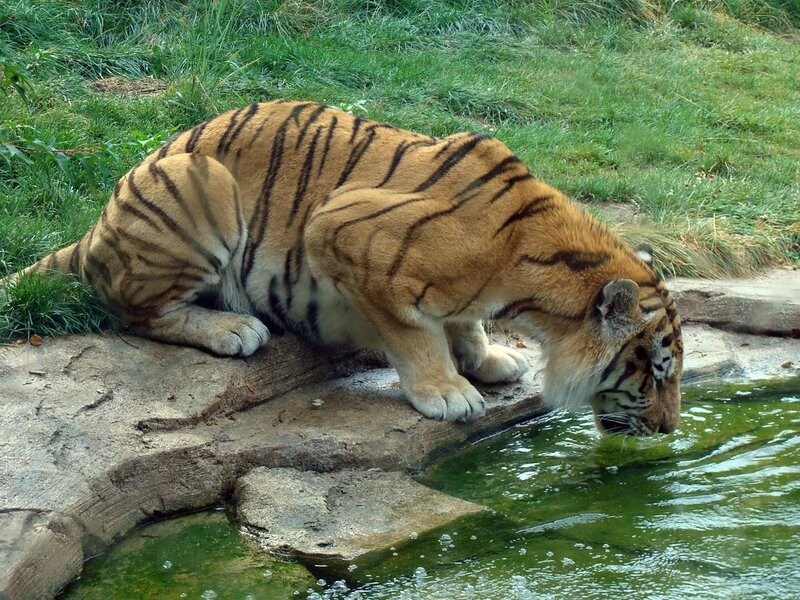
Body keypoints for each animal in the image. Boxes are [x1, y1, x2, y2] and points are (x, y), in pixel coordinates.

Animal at [4, 100, 683, 435]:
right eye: (654, 372)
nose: (668, 430)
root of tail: (96, 224)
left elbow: (462, 322)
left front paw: (488, 359)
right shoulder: (341, 229)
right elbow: (413, 333)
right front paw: (446, 392)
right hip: (198, 181)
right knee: (131, 309)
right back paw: (231, 328)